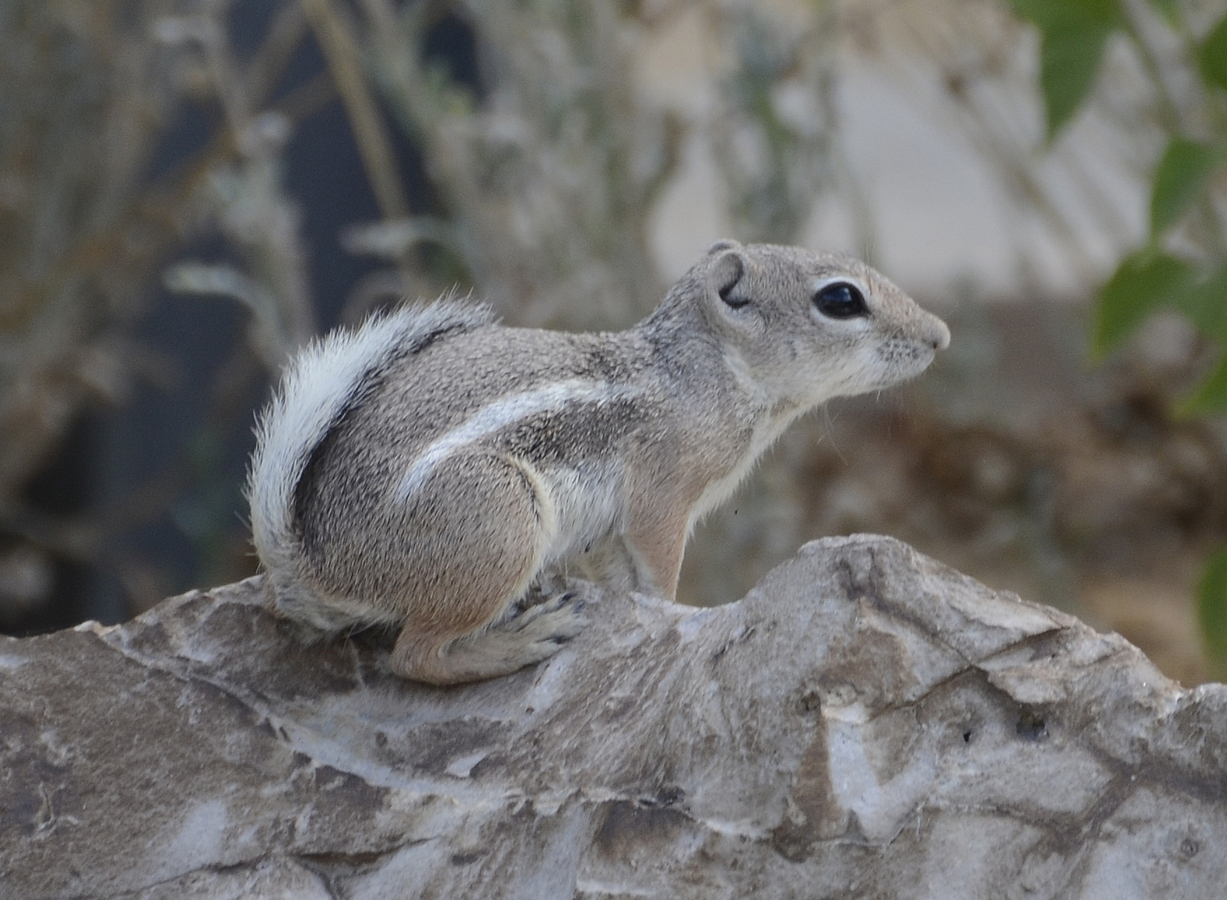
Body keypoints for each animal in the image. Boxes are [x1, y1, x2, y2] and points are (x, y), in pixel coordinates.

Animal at [244, 238, 942, 682]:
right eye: (841, 299)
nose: (941, 335)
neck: (701, 374)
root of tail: (312, 562)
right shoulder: (662, 496)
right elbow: (658, 574)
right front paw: (681, 616)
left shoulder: (606, 535)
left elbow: (622, 579)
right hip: (499, 519)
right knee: (414, 658)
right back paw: (522, 641)